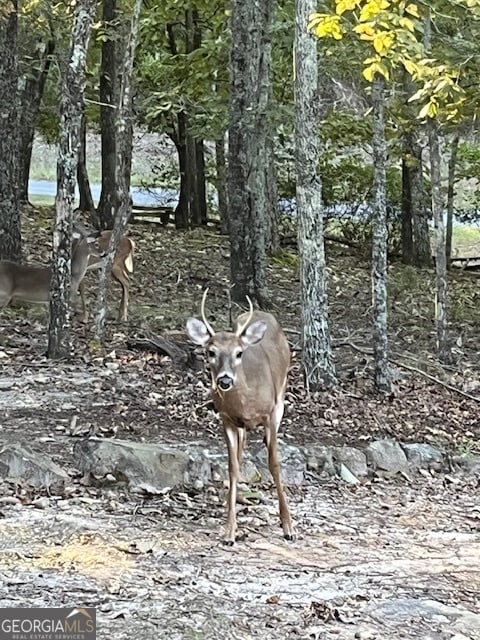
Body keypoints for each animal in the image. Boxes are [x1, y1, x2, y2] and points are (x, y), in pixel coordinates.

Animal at [186, 290, 294, 544]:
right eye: (211, 352)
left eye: (239, 353)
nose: (225, 380)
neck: (247, 402)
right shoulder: (227, 419)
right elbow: (232, 466)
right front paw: (229, 530)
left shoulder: (271, 414)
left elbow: (274, 463)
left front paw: (288, 526)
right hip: (241, 426)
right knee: (241, 452)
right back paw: (234, 502)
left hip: (282, 396)